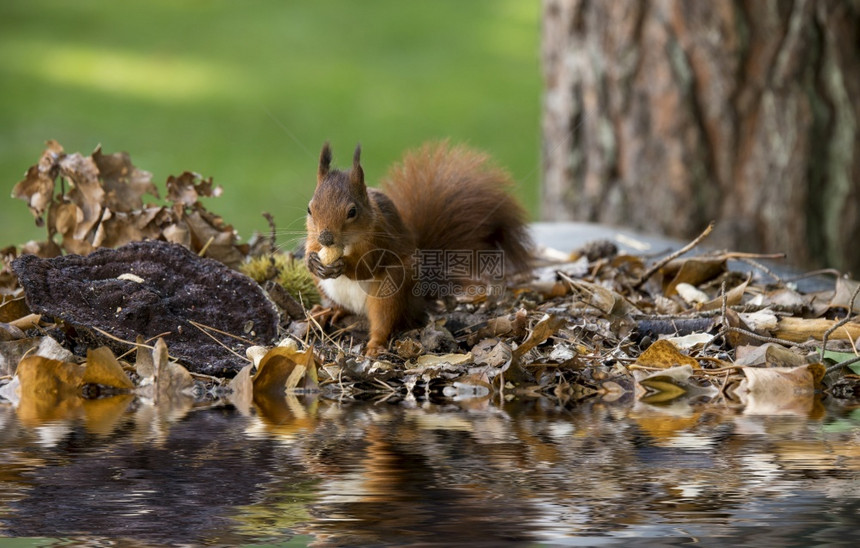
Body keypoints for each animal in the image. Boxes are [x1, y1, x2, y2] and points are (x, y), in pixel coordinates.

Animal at [302, 139, 532, 358]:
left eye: (352, 212)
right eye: (309, 209)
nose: (326, 238)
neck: (345, 245)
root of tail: (417, 301)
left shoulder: (381, 240)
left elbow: (366, 266)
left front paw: (343, 264)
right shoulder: (313, 236)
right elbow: (310, 247)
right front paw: (312, 261)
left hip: (390, 291)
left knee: (383, 322)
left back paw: (374, 346)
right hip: (325, 287)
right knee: (341, 306)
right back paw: (328, 311)